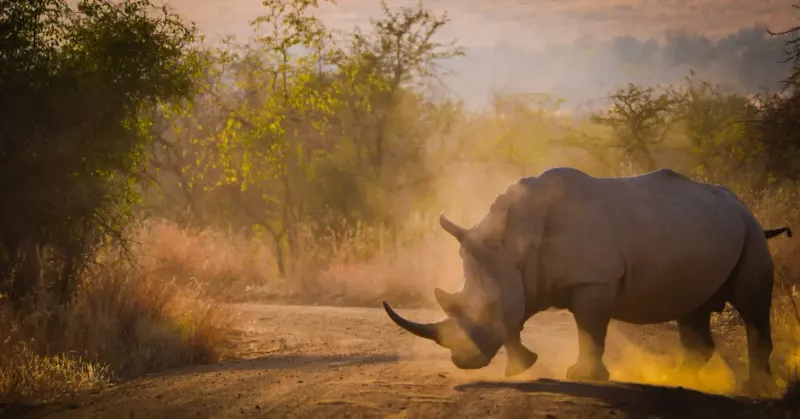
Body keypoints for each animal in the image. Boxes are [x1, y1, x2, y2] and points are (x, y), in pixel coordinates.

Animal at [383, 167, 792, 395]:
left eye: (484, 308)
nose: (463, 361)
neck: (514, 244)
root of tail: (741, 204)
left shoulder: (594, 280)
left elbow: (590, 329)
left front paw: (583, 376)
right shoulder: (518, 277)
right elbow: (514, 323)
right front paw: (521, 367)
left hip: (749, 230)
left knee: (752, 305)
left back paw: (755, 389)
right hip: (705, 228)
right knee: (692, 310)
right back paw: (676, 380)